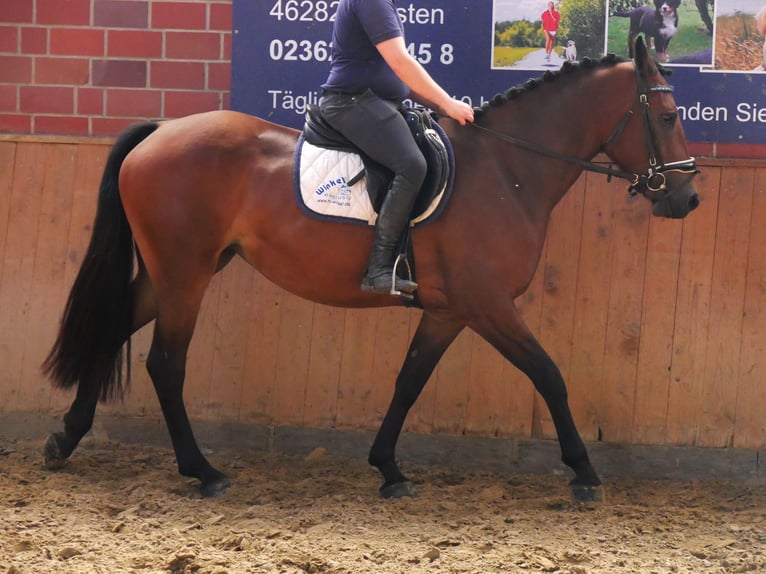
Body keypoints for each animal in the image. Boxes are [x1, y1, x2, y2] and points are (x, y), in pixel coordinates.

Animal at [42, 38, 704, 502]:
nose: (687, 199)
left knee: (112, 329)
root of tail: (161, 130)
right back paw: (203, 472)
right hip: (186, 275)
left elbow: (408, 381)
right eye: (668, 117)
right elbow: (549, 374)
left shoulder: (449, 311)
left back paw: (64, 440)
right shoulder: (488, 305)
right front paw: (585, 472)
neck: (508, 169)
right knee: (165, 364)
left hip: (173, 273)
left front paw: (388, 469)